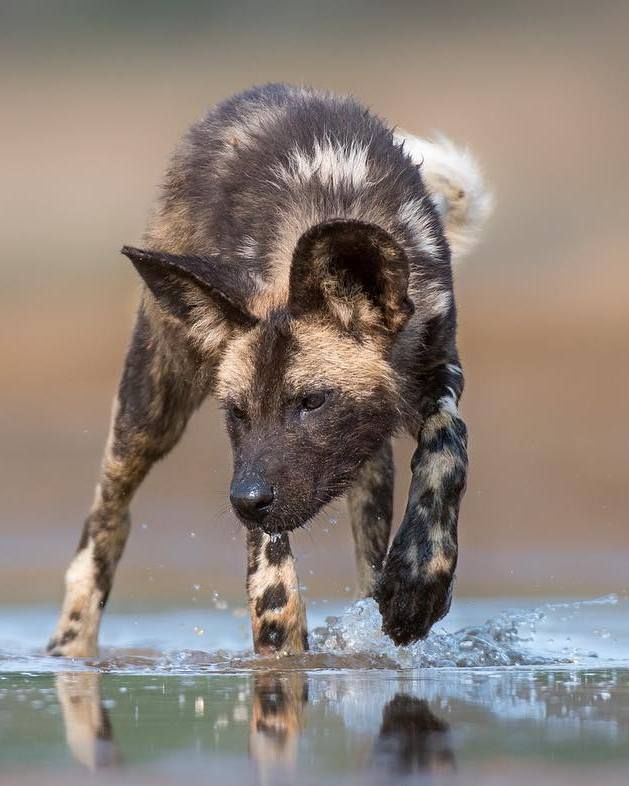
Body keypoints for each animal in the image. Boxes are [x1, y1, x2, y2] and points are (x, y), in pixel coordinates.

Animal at [47, 82, 490, 656]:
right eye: (237, 412)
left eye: (312, 402)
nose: (244, 502)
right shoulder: (255, 472)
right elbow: (274, 587)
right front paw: (281, 657)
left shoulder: (436, 370)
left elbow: (447, 447)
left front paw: (418, 582)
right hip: (148, 410)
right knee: (106, 521)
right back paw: (69, 645)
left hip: (364, 467)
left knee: (367, 550)